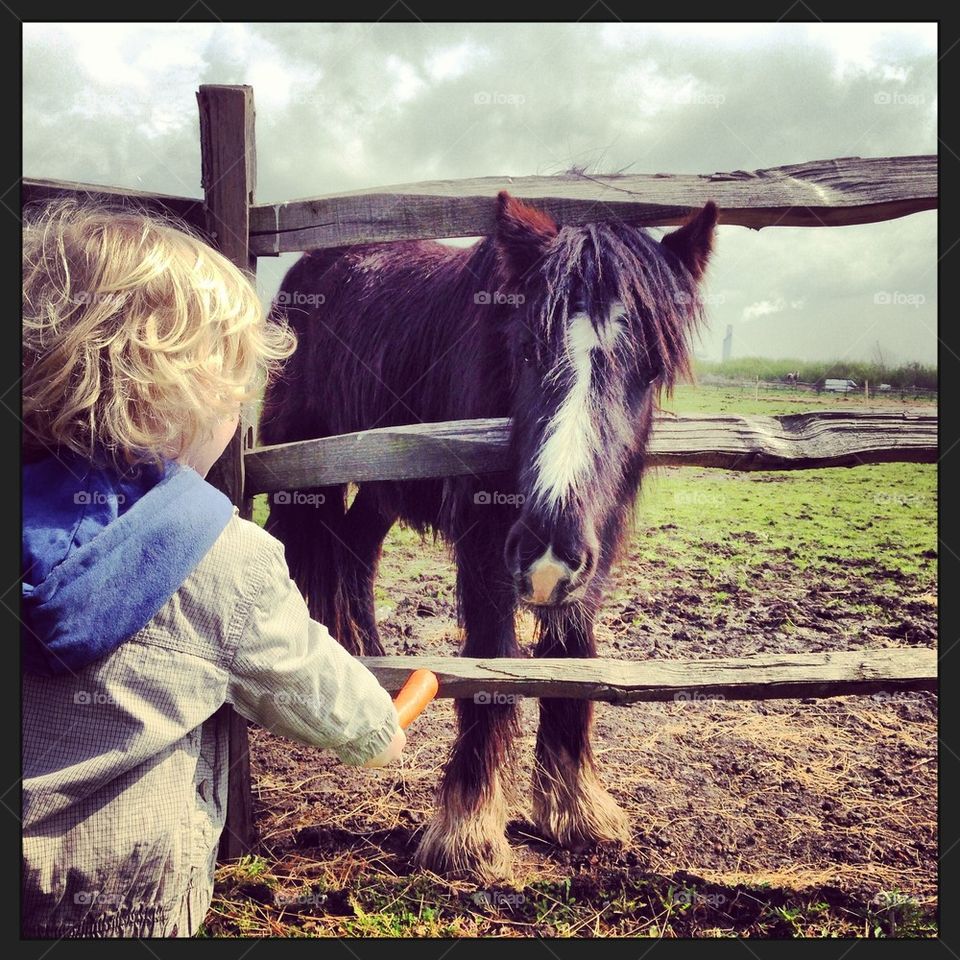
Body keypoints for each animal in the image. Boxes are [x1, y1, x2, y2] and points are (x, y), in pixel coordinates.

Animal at [259, 191, 718, 880]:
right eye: (525, 348)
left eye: (651, 366)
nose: (548, 554)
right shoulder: (484, 552)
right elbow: (489, 668)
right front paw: (468, 830)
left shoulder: (591, 557)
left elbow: (573, 660)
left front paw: (576, 811)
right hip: (300, 472)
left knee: (356, 550)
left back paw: (366, 654)